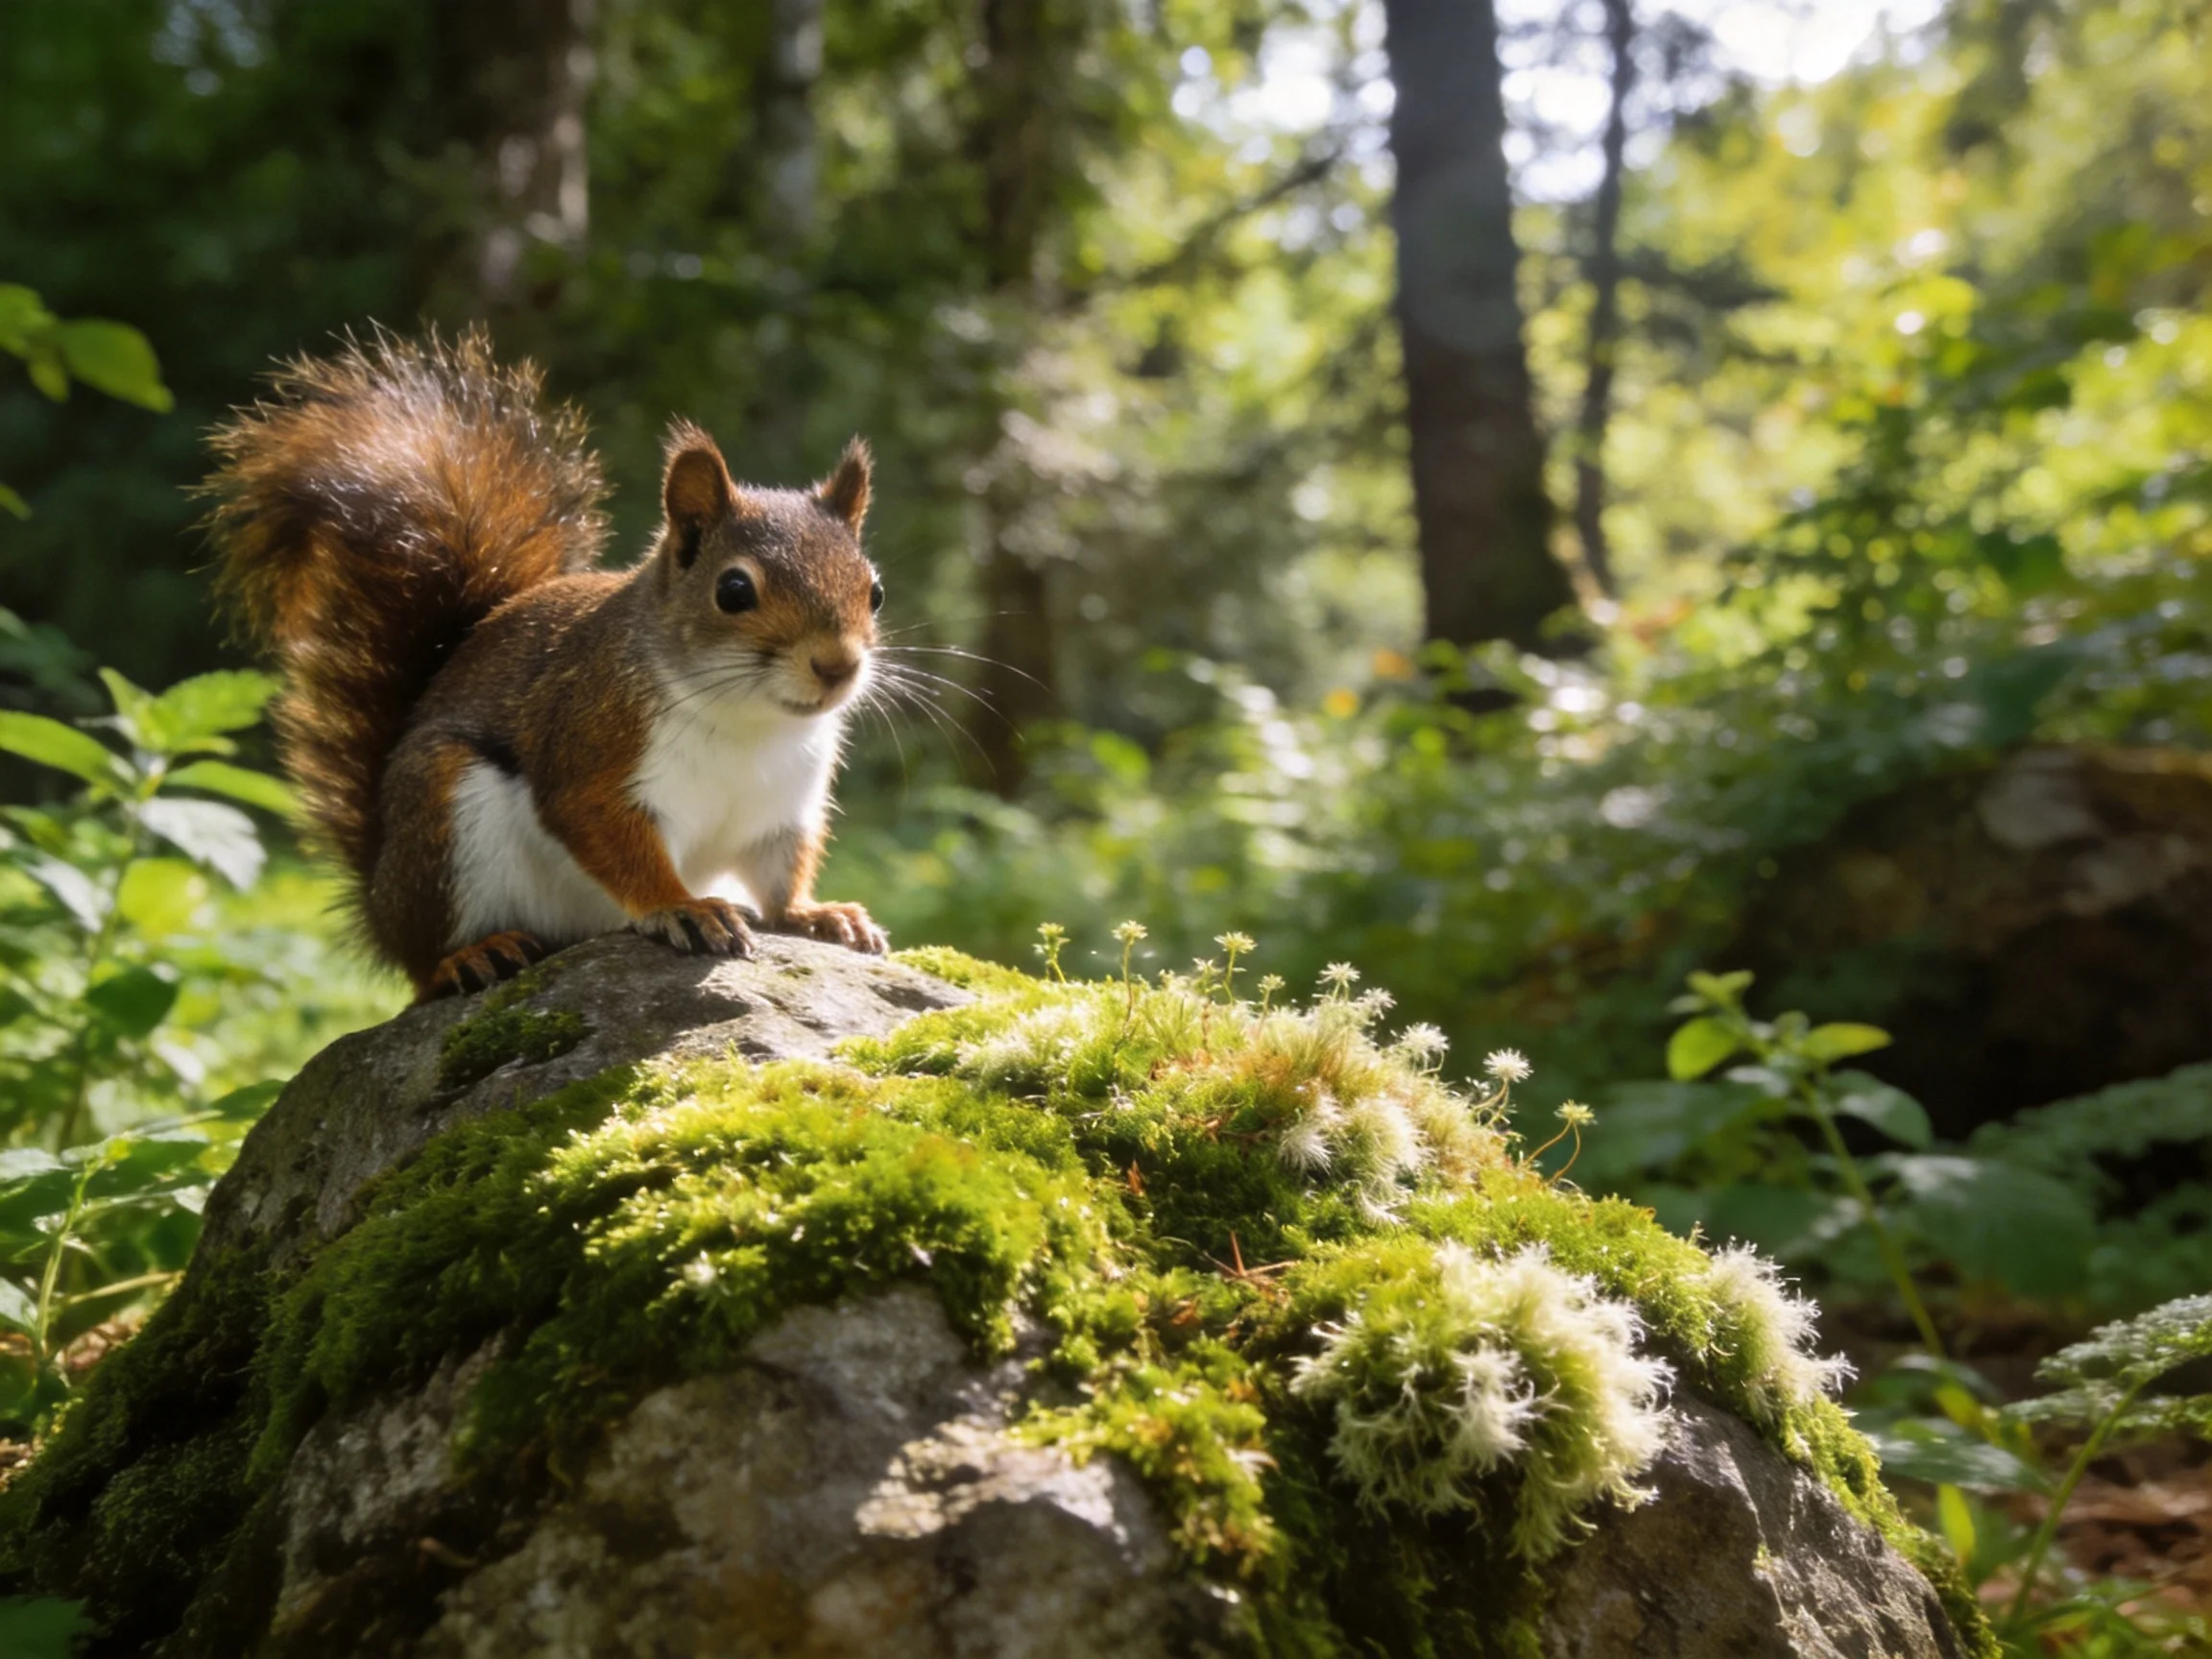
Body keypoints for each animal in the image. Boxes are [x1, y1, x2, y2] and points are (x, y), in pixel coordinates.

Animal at [205, 330, 889, 1000]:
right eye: (735, 591)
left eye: (875, 592)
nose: (836, 666)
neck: (750, 722)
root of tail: (379, 899)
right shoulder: (595, 743)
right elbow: (606, 831)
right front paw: (682, 906)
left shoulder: (783, 810)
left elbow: (780, 874)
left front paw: (815, 913)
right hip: (443, 811)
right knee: (423, 962)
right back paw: (469, 957)